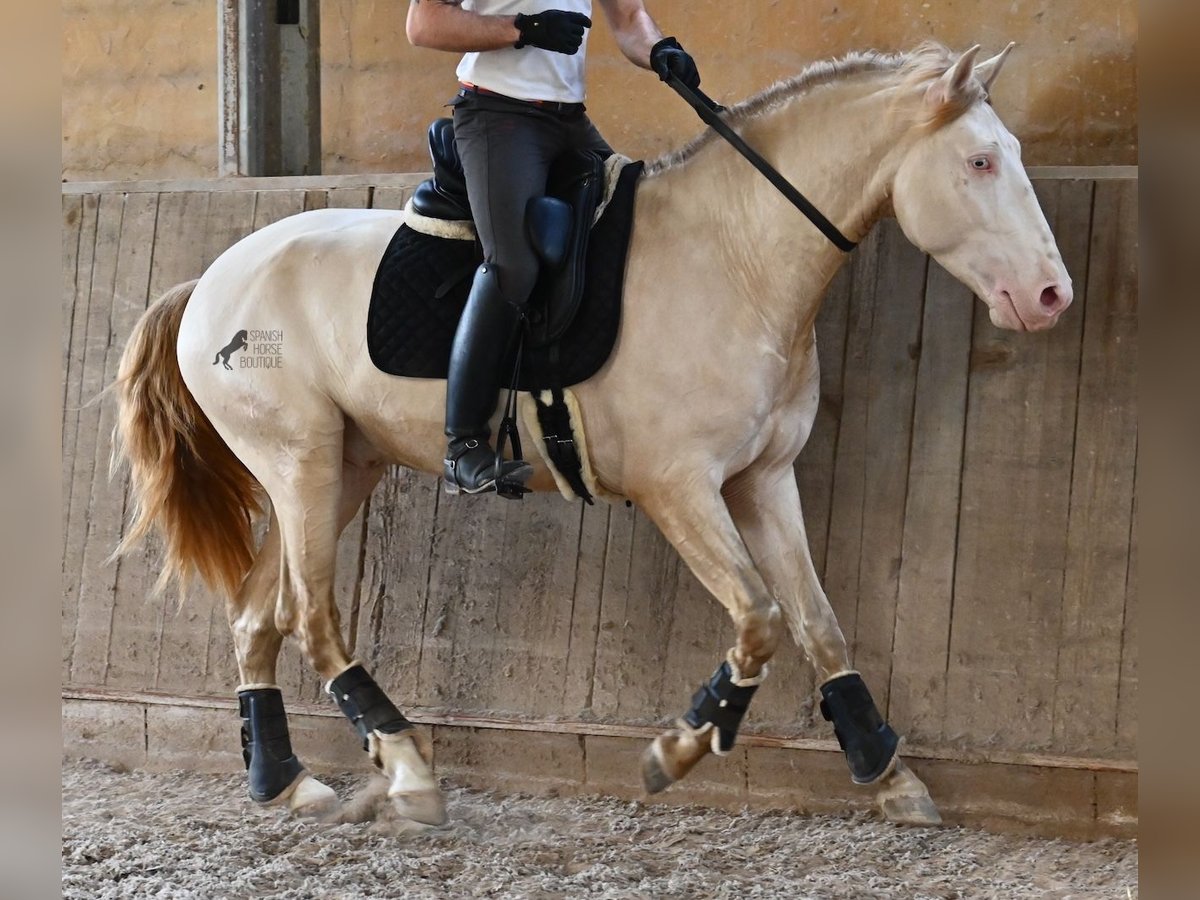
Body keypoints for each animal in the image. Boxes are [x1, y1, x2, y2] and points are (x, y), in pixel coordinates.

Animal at [112, 44, 1070, 830]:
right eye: (980, 161)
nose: (1051, 295)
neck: (736, 256)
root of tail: (211, 282)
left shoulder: (764, 479)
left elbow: (817, 622)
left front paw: (887, 771)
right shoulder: (678, 486)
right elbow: (759, 617)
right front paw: (678, 748)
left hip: (342, 468)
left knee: (256, 617)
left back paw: (283, 780)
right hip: (299, 463)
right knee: (311, 616)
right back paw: (410, 771)